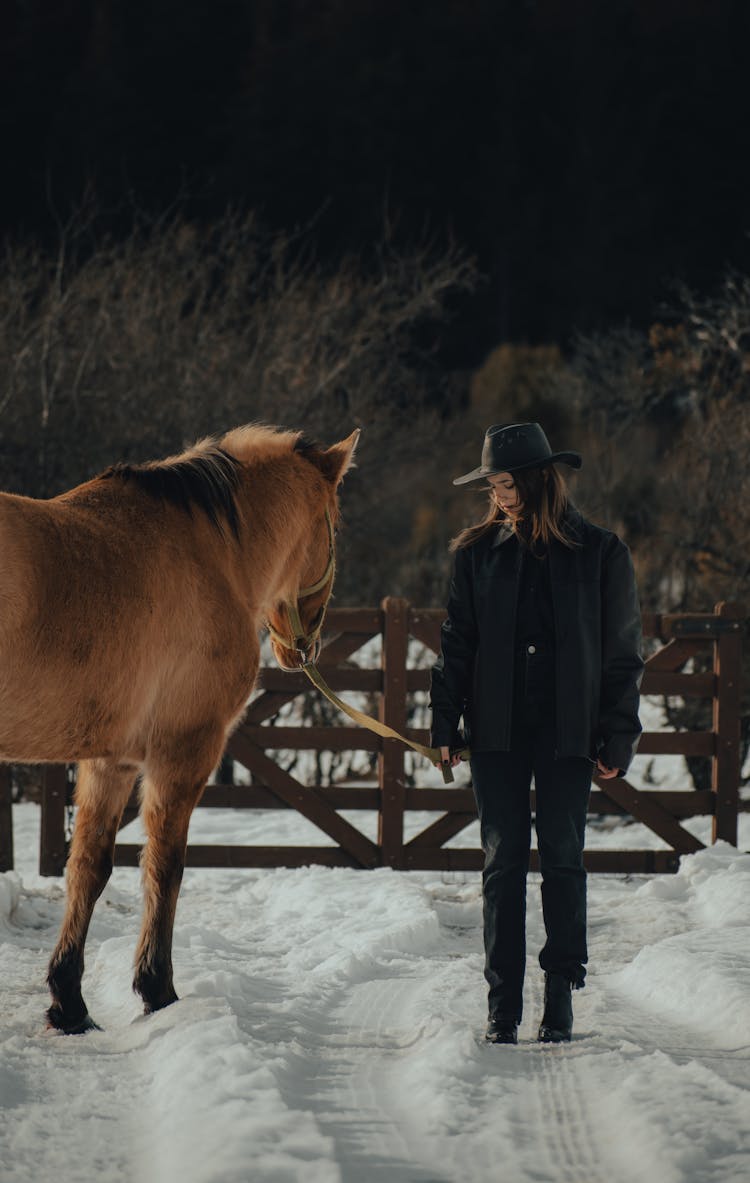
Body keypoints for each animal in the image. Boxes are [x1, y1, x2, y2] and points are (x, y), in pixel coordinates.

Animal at [0, 423, 357, 1026]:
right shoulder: (184, 752)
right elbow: (166, 867)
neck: (212, 553)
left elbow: (88, 868)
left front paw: (68, 1001)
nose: (303, 646)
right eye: (335, 527)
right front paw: (156, 989)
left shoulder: (110, 761)